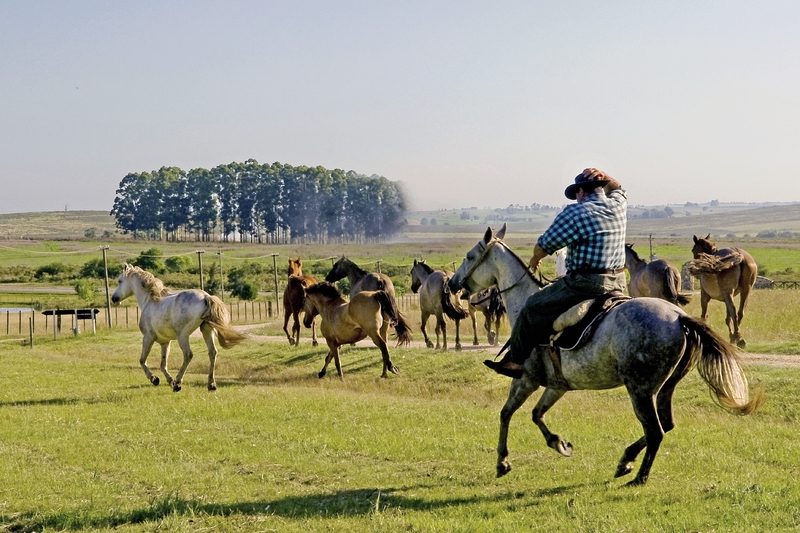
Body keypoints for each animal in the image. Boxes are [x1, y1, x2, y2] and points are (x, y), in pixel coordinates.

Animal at [111, 262, 245, 390]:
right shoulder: (165, 342)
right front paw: (169, 380)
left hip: (183, 335)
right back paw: (211, 385)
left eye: (119, 281)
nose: (114, 298)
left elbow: (142, 360)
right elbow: (163, 365)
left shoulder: (148, 337)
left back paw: (178, 383)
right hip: (206, 330)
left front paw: (155, 379)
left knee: (188, 355)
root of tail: (206, 297)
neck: (150, 301)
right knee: (212, 352)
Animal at [450, 224, 764, 486]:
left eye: (469, 256)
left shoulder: (526, 379)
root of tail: (679, 318)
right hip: (665, 387)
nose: (453, 284)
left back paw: (638, 476)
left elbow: (506, 413)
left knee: (656, 430)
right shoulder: (557, 385)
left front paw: (502, 462)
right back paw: (625, 461)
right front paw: (560, 444)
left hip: (640, 390)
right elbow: (537, 414)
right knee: (665, 425)